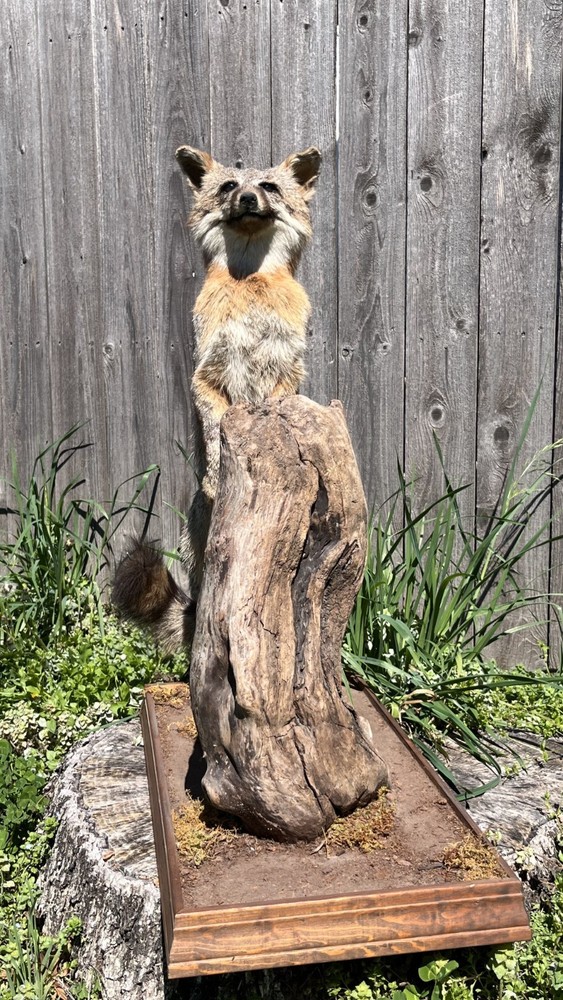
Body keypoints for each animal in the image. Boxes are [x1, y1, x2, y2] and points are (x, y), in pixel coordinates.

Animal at [112, 144, 321, 651]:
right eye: (228, 186)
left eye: (267, 187)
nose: (246, 198)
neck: (251, 286)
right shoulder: (206, 374)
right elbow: (213, 428)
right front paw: (212, 472)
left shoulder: (289, 369)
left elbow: (278, 402)